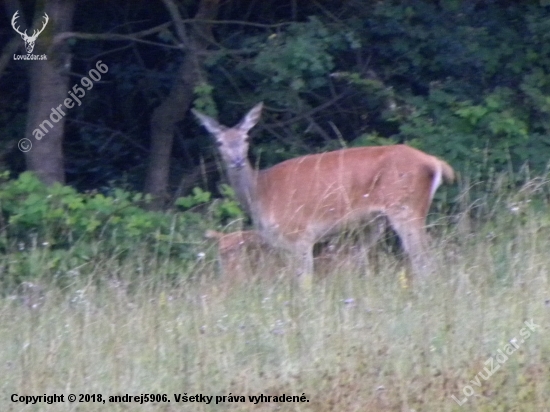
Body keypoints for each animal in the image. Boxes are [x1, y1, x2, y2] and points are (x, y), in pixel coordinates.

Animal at [194, 104, 458, 280]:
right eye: (219, 142)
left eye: (246, 137)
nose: (237, 161)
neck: (261, 192)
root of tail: (434, 163)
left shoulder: (299, 233)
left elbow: (304, 281)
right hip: (376, 222)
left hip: (406, 207)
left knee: (424, 257)